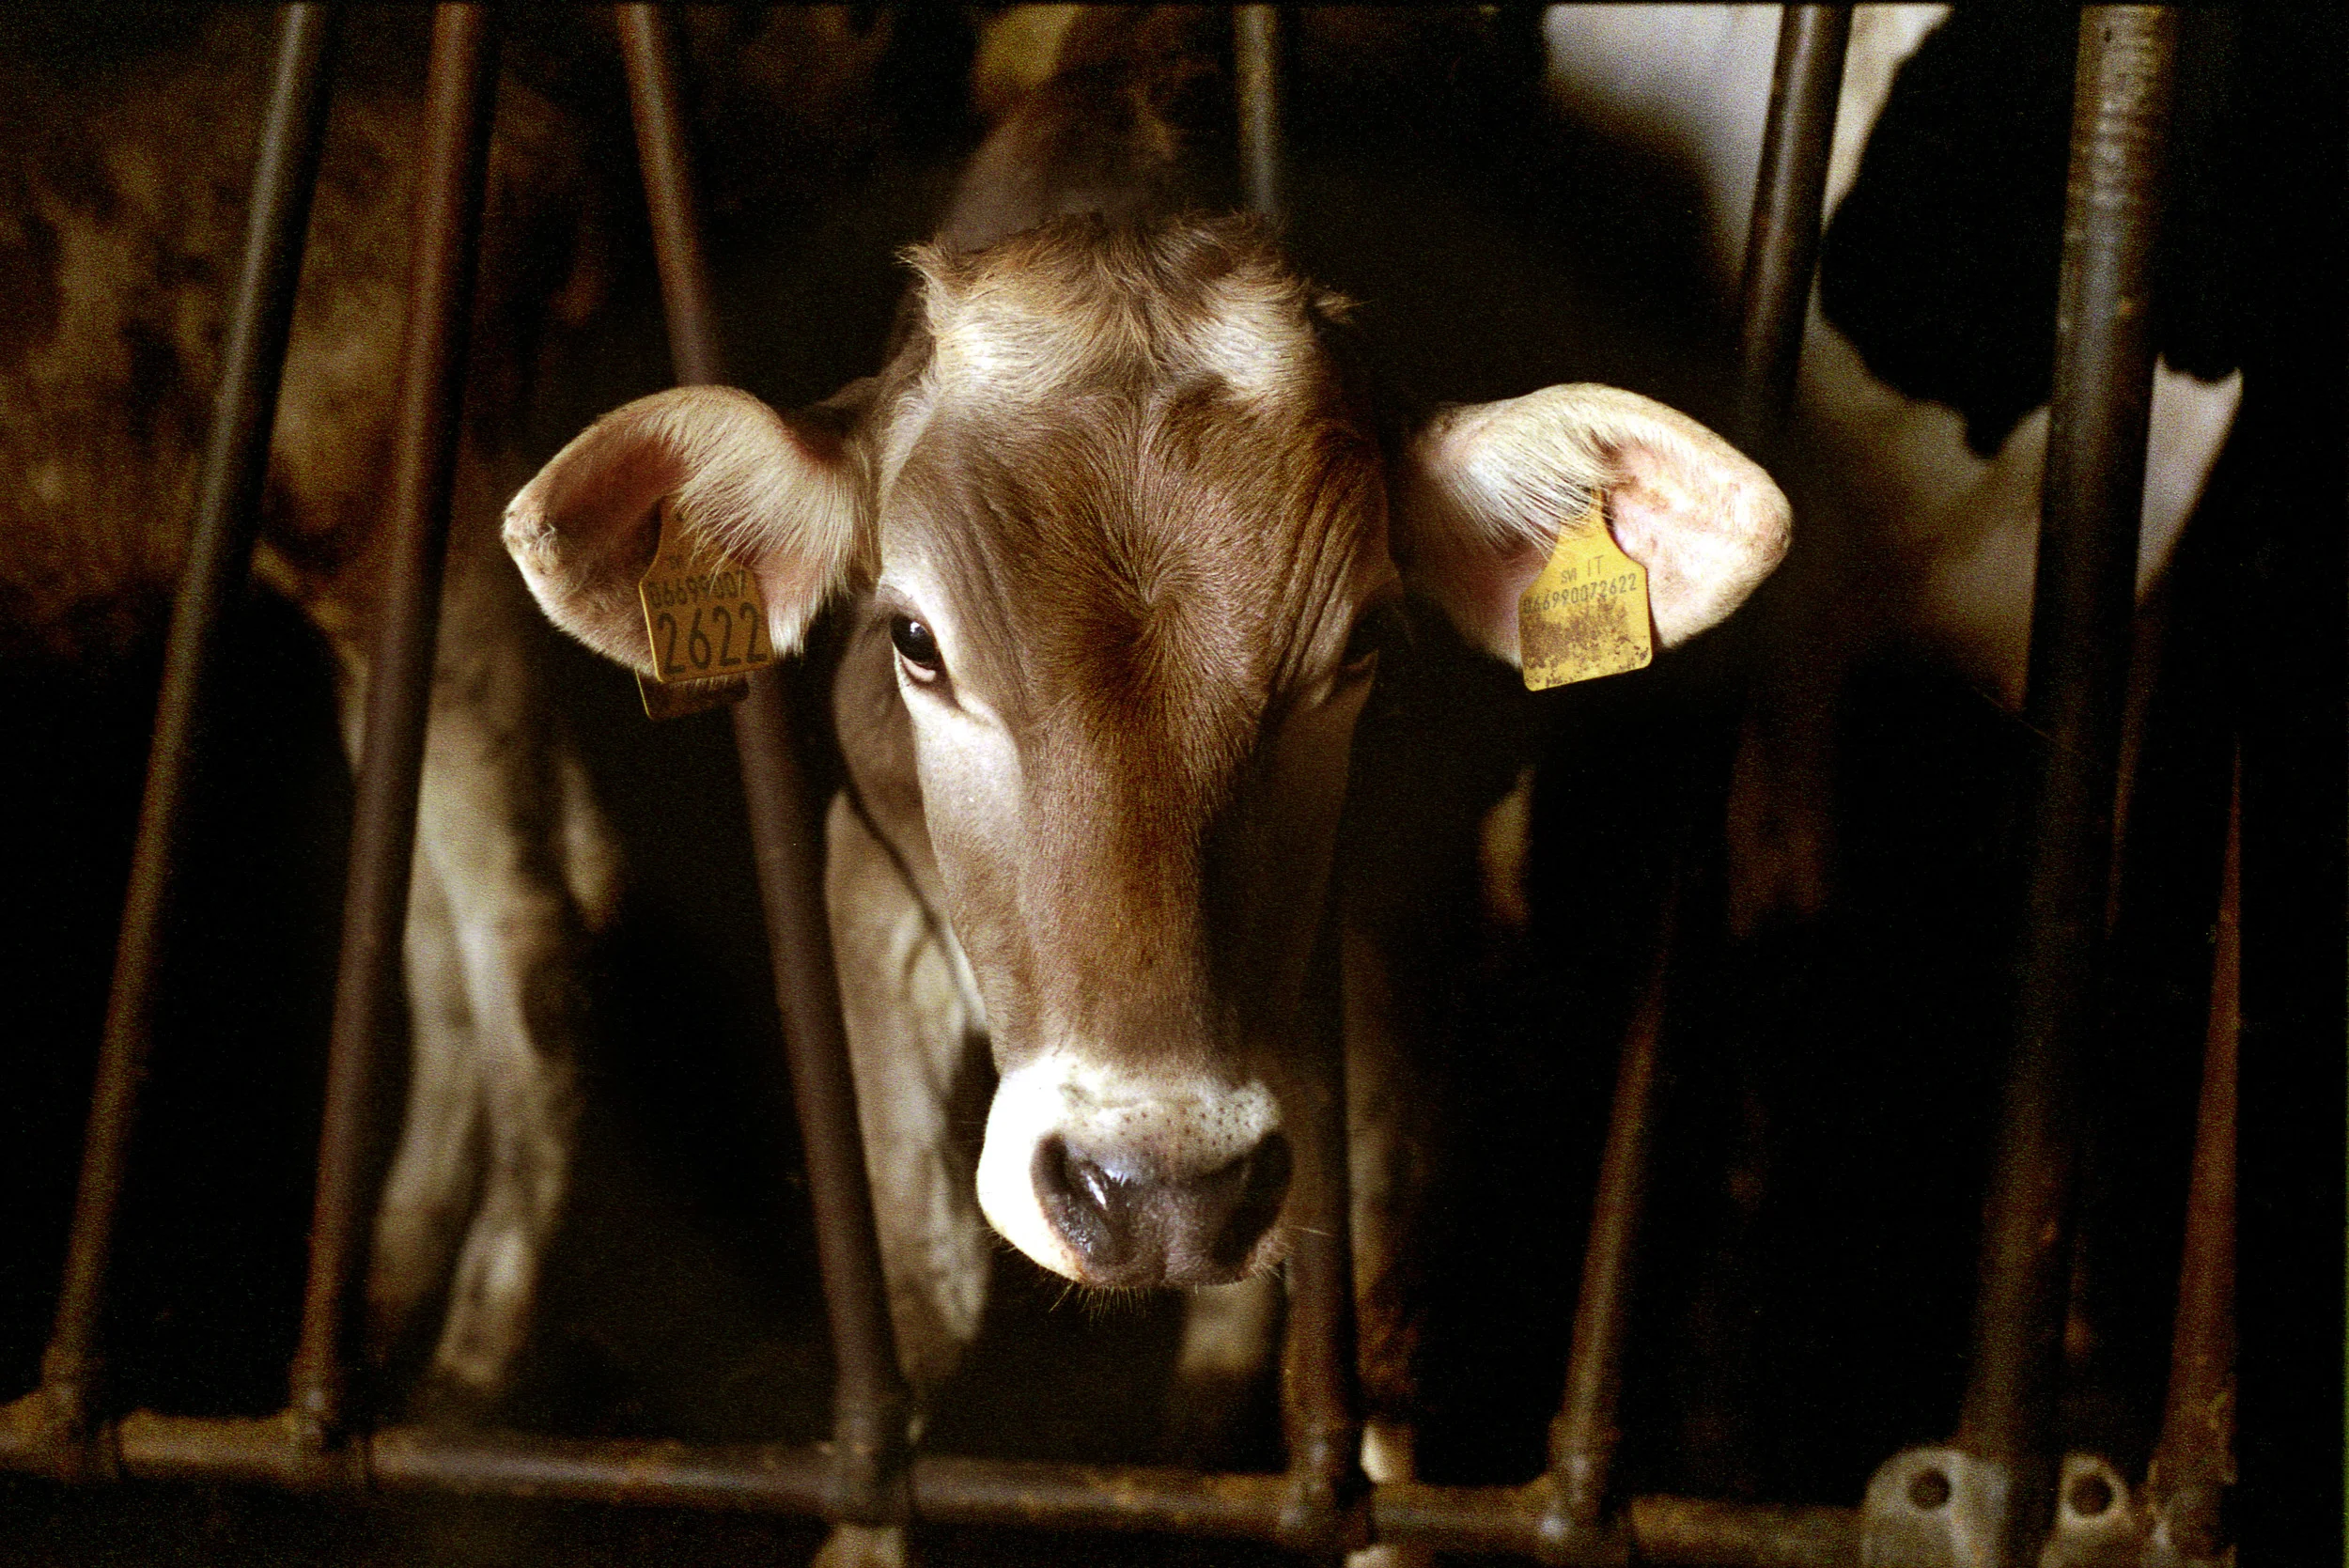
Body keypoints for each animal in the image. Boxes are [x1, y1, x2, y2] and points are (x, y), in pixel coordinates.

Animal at [503, 10, 1791, 1563]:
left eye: (1365, 643)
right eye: (915, 639)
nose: (1158, 1187)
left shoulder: (1391, 939)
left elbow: (1369, 1352)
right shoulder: (867, 874)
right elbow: (921, 1303)